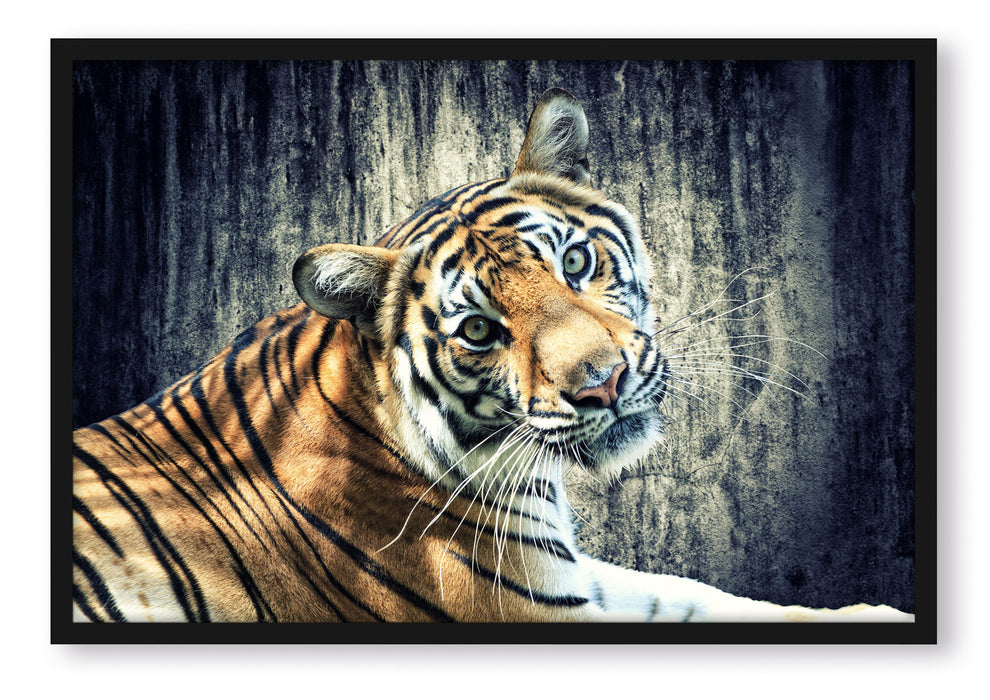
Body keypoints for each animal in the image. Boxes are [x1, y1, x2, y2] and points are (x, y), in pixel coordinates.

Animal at [72, 87, 912, 624]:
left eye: (575, 263)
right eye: (478, 331)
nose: (604, 385)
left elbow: (693, 594)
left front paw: (871, 612)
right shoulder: (532, 609)